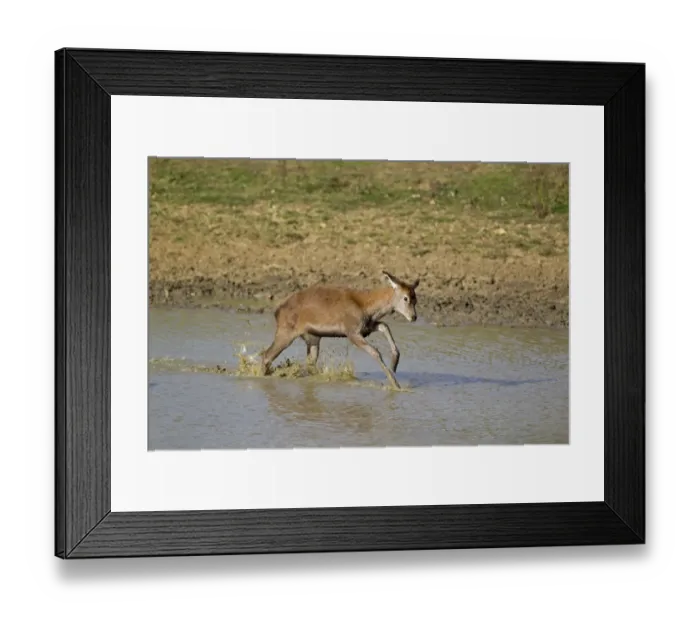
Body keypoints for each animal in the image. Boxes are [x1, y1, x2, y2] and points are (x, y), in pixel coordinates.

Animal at [259, 271, 420, 389]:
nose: (414, 317)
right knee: (266, 355)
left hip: (312, 337)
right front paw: (395, 384)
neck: (366, 306)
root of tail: (277, 311)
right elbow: (375, 351)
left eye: (415, 299)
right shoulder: (351, 331)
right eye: (405, 298)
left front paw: (395, 362)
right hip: (286, 332)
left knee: (309, 362)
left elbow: (385, 326)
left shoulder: (366, 327)